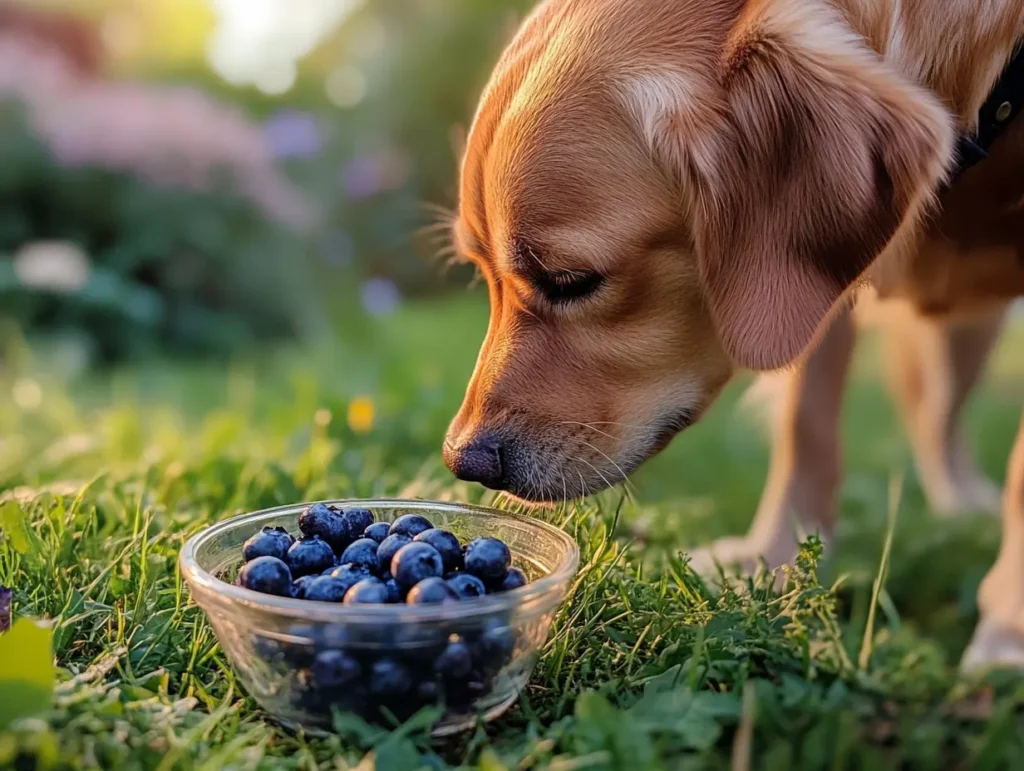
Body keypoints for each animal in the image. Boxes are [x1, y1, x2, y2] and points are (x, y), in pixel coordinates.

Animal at [444, 0, 1024, 667]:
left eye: (569, 280)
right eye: (482, 273)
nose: (461, 460)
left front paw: (1009, 631)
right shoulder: (811, 291)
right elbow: (806, 424)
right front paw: (774, 564)